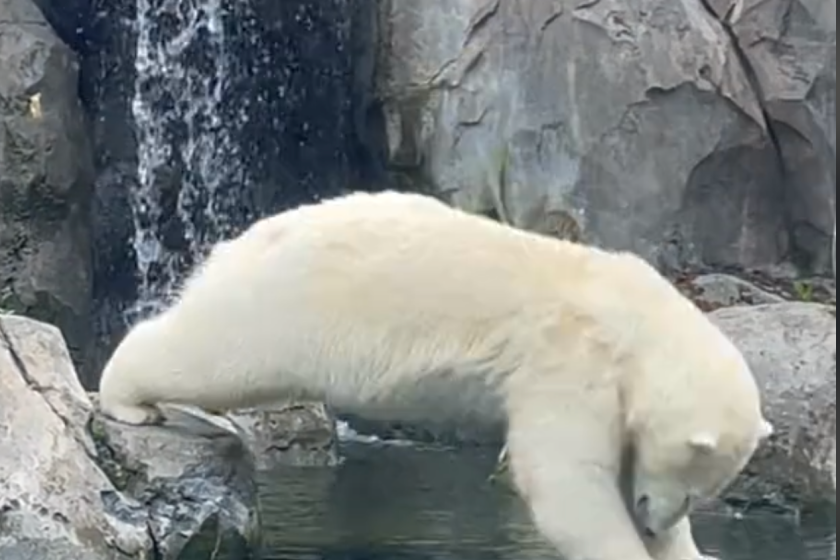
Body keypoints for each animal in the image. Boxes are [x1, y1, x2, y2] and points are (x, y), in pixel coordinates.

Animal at [98, 190, 772, 560]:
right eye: (695, 487)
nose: (655, 521)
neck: (637, 322)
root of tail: (245, 241)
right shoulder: (571, 363)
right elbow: (566, 481)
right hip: (284, 310)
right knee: (211, 352)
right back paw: (129, 399)